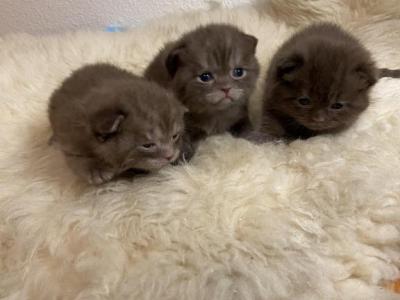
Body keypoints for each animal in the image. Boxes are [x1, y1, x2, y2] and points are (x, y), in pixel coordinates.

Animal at [48, 63, 186, 185]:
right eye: (147, 145)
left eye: (174, 136)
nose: (170, 156)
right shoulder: (69, 134)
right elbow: (76, 157)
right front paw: (95, 169)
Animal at [145, 24, 260, 157]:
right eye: (205, 77)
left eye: (238, 72)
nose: (226, 88)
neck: (216, 114)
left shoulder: (241, 114)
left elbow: (247, 128)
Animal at [256, 22, 390, 141]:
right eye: (304, 101)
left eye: (337, 105)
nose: (318, 119)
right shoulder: (269, 98)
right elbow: (270, 121)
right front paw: (270, 139)